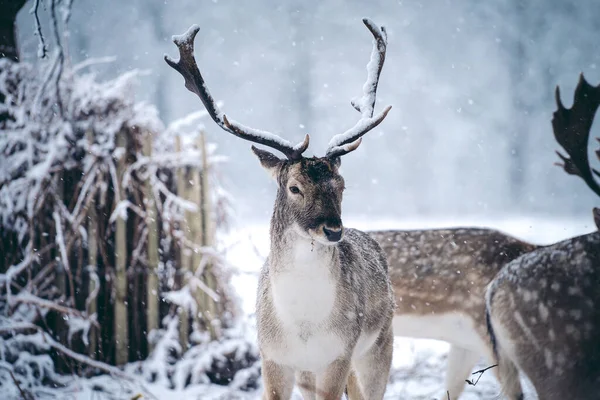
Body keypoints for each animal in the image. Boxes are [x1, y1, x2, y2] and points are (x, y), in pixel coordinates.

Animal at [166, 18, 396, 400]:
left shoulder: (339, 355)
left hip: (380, 344)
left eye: (341, 185)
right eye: (295, 187)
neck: (302, 327)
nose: (333, 230)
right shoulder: (273, 358)